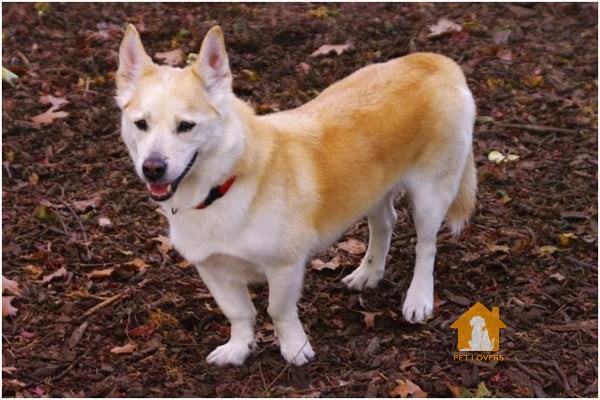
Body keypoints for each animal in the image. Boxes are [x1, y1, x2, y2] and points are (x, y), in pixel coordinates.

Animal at [115, 25, 476, 368]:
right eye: (141, 124)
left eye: (186, 126)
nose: (152, 168)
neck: (222, 188)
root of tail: (435, 60)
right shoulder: (213, 269)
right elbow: (239, 313)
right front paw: (238, 349)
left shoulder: (284, 267)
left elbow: (278, 312)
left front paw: (295, 349)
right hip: (372, 188)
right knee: (384, 224)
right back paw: (368, 273)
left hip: (431, 195)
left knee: (426, 246)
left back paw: (418, 298)